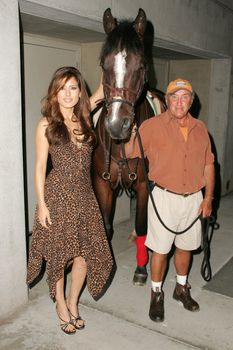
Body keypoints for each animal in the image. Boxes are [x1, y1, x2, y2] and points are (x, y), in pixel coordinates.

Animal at [92, 8, 167, 286]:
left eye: (142, 64)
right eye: (103, 64)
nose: (117, 125)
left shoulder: (144, 185)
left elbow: (144, 224)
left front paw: (142, 268)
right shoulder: (103, 185)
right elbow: (105, 226)